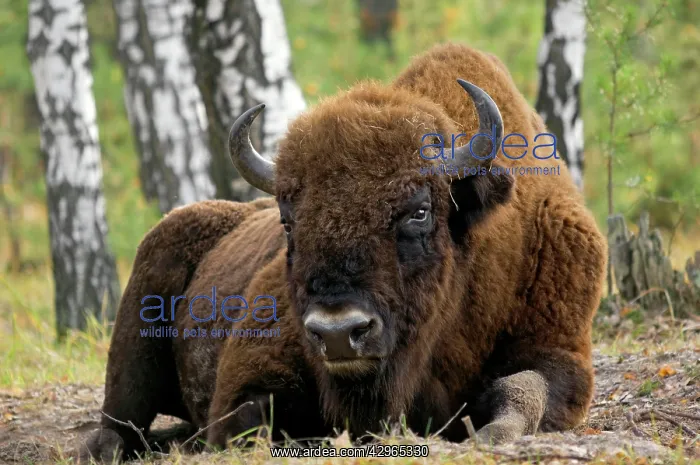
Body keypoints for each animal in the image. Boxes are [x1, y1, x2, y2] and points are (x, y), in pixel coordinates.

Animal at [79, 43, 607, 462]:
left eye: (419, 212)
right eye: (288, 219)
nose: (337, 333)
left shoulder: (559, 353)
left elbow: (522, 391)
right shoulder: (247, 379)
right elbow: (250, 422)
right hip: (132, 350)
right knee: (118, 426)